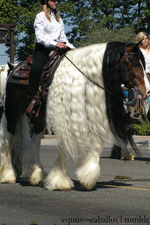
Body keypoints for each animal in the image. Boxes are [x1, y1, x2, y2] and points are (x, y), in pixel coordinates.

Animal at [0, 41, 150, 190]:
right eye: (134, 63)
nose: (147, 91)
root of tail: (14, 68)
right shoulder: (63, 116)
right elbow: (64, 146)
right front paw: (60, 180)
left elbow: (97, 144)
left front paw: (87, 177)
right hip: (13, 111)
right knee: (8, 139)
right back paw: (8, 175)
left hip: (39, 118)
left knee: (34, 143)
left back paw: (38, 174)